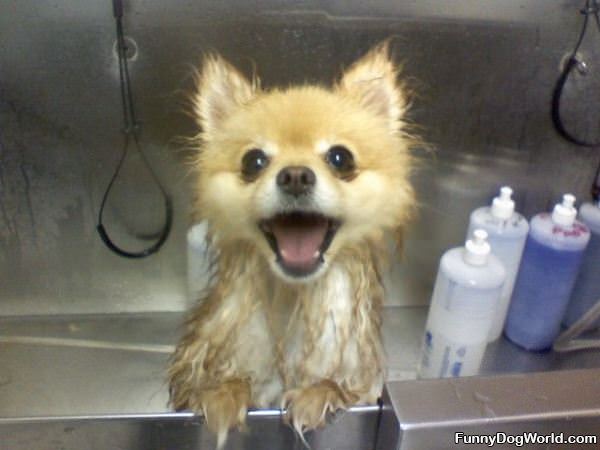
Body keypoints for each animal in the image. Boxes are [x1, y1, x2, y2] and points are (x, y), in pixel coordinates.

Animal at [166, 41, 414, 446]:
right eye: (254, 161)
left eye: (340, 158)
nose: (295, 175)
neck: (294, 296)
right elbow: (222, 382)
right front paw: (223, 393)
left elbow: (339, 386)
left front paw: (320, 392)